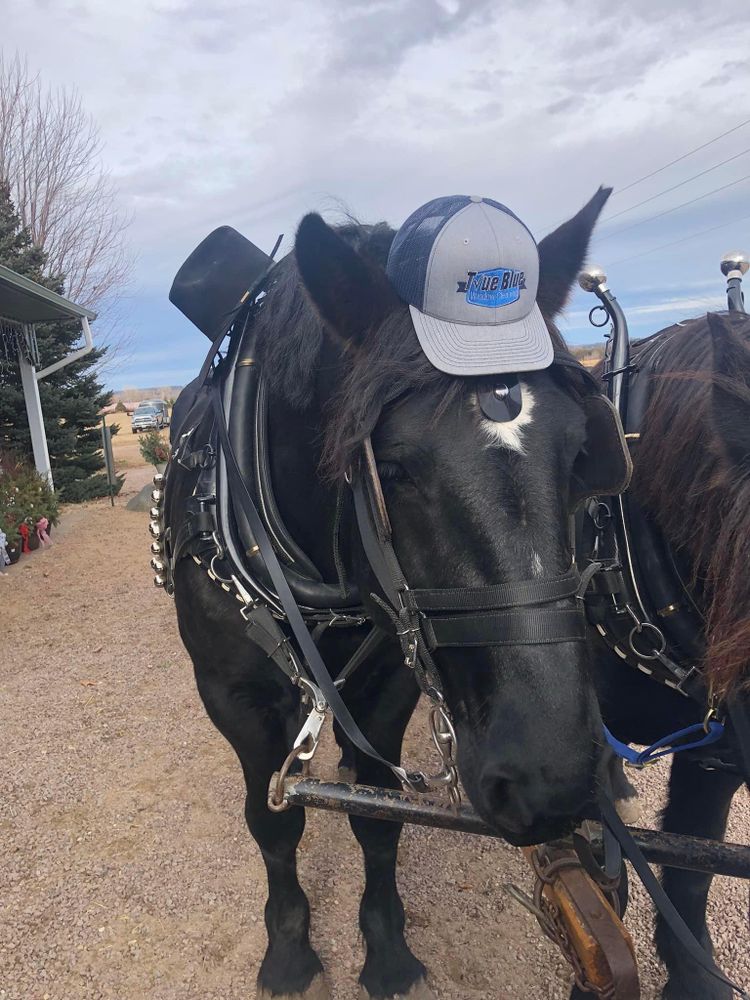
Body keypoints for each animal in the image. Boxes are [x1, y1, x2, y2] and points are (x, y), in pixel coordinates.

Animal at [166, 189, 628, 1000]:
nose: (552, 782)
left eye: (582, 453)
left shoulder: (388, 681)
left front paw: (384, 946)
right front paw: (289, 948)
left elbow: (379, 814)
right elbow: (273, 820)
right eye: (393, 467)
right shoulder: (230, 693)